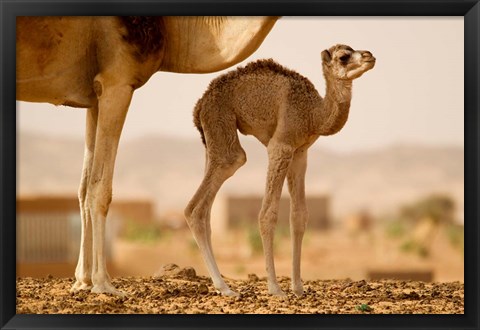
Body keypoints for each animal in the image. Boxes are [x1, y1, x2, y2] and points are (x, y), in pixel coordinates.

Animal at [15, 16, 278, 296]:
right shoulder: (117, 81)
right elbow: (101, 189)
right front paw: (103, 283)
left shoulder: (93, 96)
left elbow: (84, 189)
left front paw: (82, 281)